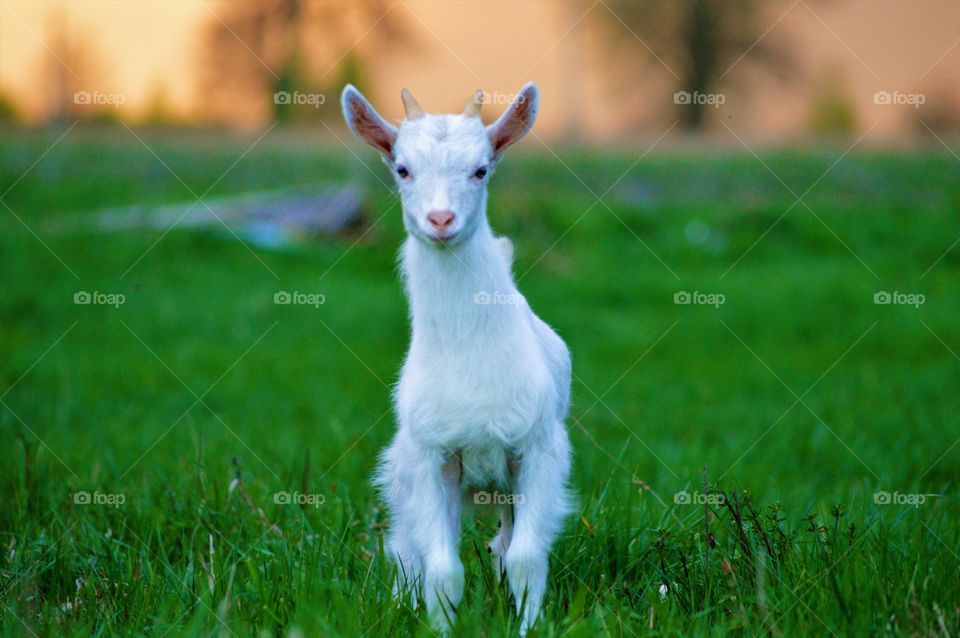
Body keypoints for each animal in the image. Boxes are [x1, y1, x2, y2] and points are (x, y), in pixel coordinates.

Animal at [342, 83, 573, 635]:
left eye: (481, 169)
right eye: (401, 168)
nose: (441, 220)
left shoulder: (538, 447)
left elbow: (524, 557)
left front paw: (527, 626)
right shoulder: (430, 455)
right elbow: (442, 566)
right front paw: (438, 626)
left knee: (503, 542)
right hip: (402, 471)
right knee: (406, 547)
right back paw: (402, 602)